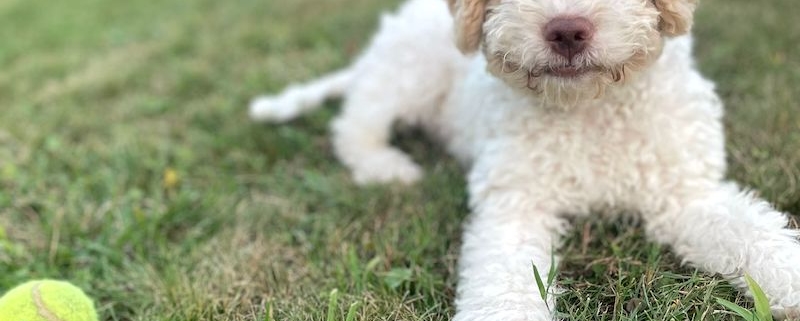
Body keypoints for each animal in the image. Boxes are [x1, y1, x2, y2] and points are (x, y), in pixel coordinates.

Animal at [250, 0, 800, 318]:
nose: (567, 31)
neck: (588, 108)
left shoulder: (684, 193)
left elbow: (755, 235)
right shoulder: (515, 206)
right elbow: (504, 281)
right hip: (409, 73)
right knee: (355, 124)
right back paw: (385, 167)